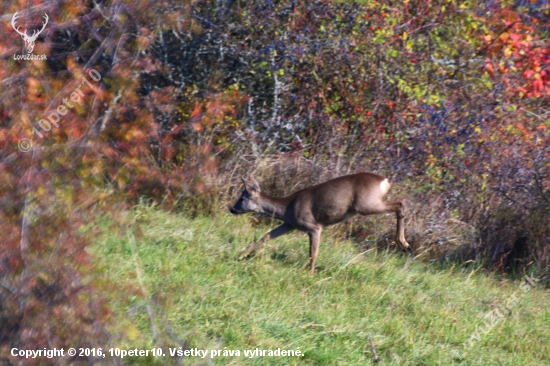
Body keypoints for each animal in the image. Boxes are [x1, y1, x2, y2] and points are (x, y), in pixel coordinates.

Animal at [230, 173, 414, 274]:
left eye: (243, 198)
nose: (232, 209)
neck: (287, 208)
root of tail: (385, 180)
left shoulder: (314, 226)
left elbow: (313, 252)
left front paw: (310, 273)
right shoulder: (290, 224)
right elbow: (266, 236)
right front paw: (241, 255)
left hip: (365, 204)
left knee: (399, 204)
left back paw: (403, 243)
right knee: (399, 204)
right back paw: (404, 244)